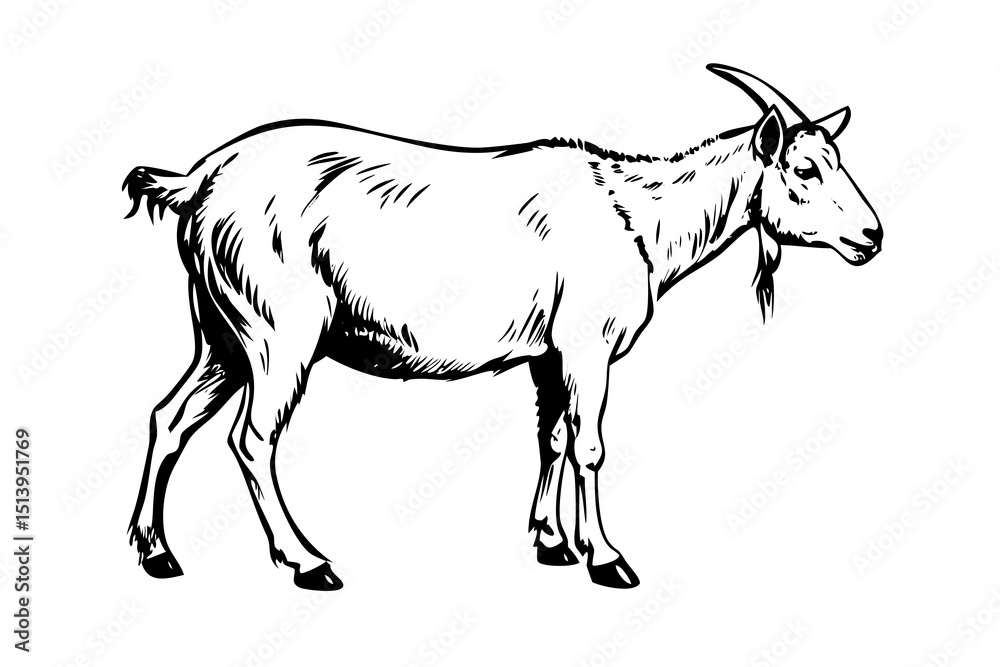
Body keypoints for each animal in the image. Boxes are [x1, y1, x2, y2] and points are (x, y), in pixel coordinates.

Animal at [124, 64, 882, 590]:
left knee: (171, 416)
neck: (636, 216)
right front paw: (606, 557)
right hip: (277, 330)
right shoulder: (589, 345)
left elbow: (551, 437)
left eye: (838, 160)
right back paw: (308, 562)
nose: (872, 236)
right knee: (251, 437)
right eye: (805, 169)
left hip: (221, 332)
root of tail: (196, 182)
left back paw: (157, 552)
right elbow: (590, 445)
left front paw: (551, 543)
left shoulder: (550, 353)